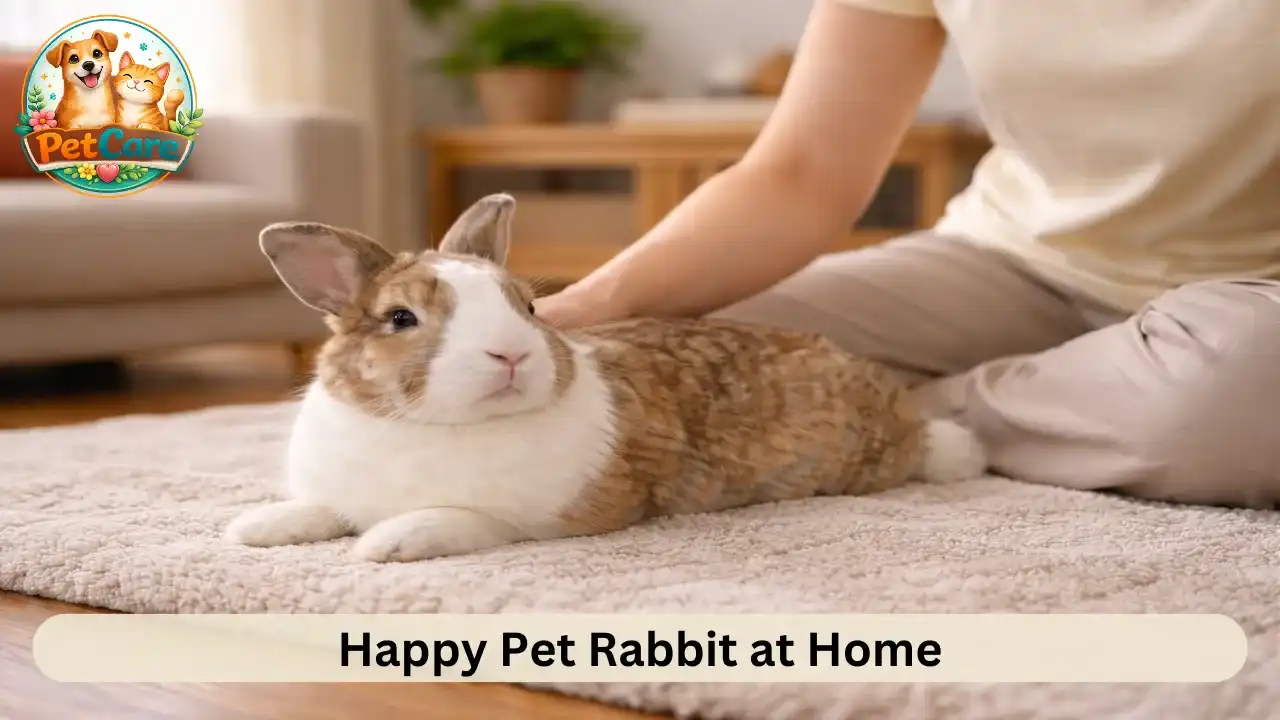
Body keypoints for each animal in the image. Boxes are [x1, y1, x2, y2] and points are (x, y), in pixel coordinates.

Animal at [224, 194, 988, 563]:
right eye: (401, 318)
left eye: (528, 307)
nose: (511, 355)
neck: (432, 426)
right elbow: (323, 507)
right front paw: (255, 529)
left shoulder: (538, 518)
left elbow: (464, 519)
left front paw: (391, 543)